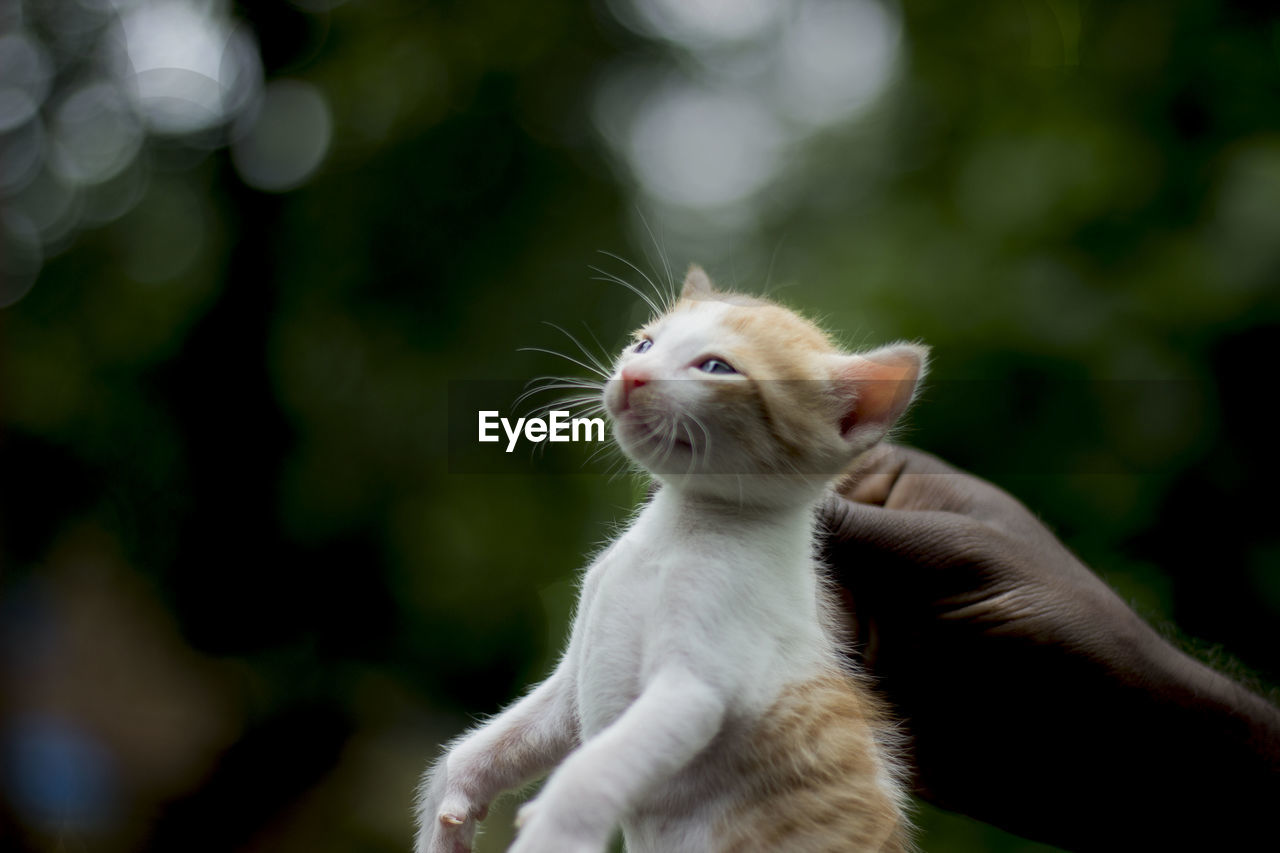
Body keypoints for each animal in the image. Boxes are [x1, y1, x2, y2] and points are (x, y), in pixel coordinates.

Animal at [414, 262, 926, 845]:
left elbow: (591, 770)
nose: (634, 375)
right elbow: (499, 742)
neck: (675, 533)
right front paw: (451, 804)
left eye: (716, 367)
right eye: (644, 344)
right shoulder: (571, 689)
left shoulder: (695, 687)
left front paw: (556, 829)